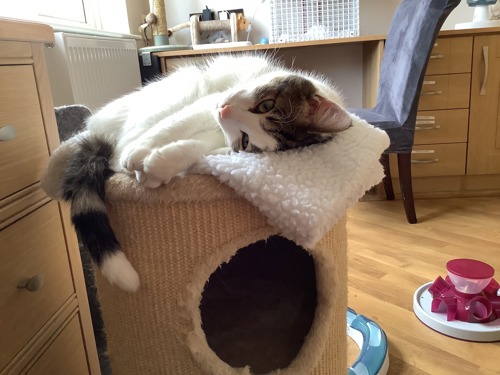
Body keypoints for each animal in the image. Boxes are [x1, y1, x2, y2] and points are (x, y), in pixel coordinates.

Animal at [43, 54, 352, 292]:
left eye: (246, 141)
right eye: (266, 105)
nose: (224, 110)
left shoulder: (222, 142)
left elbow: (197, 148)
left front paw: (160, 165)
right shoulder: (208, 102)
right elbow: (176, 125)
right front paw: (141, 153)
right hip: (181, 87)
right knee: (114, 140)